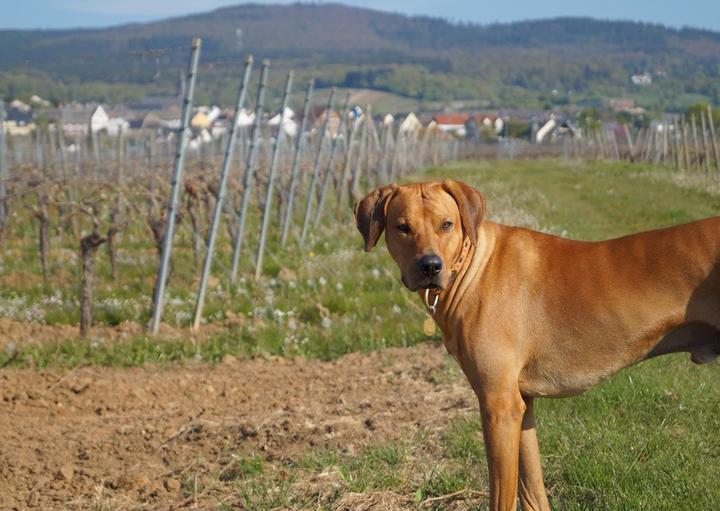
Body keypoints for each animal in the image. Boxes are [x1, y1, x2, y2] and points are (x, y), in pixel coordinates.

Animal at [354, 180, 720, 511]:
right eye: (402, 228)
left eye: (447, 224)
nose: (430, 266)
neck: (472, 269)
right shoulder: (521, 405)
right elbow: (532, 490)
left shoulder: (499, 406)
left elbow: (501, 496)